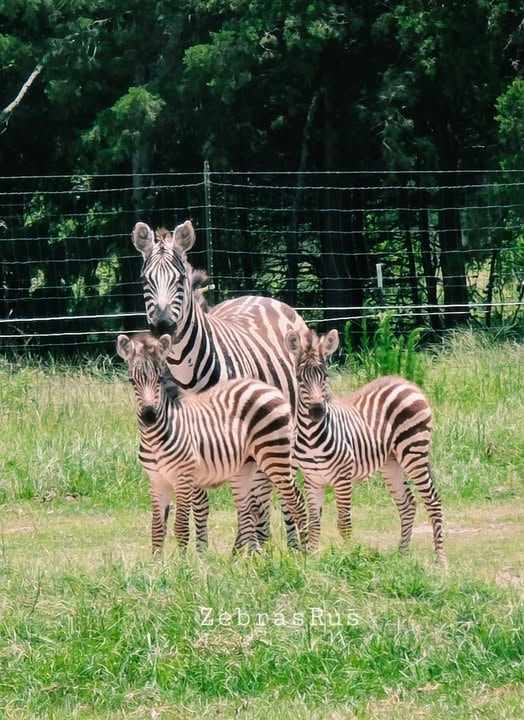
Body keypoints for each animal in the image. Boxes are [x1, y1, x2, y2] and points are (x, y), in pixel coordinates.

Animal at [117, 331, 307, 556]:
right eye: (132, 380)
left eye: (160, 379)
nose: (149, 416)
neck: (155, 438)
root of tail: (268, 388)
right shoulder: (156, 480)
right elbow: (157, 528)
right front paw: (156, 564)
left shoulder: (183, 478)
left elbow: (180, 527)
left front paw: (183, 564)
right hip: (247, 467)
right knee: (249, 513)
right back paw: (246, 559)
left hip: (275, 457)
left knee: (296, 503)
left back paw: (307, 553)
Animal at [132, 220, 308, 547]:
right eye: (145, 280)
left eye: (180, 280)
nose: (163, 326)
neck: (186, 372)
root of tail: (262, 297)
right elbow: (200, 501)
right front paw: (200, 550)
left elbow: (245, 499)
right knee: (263, 489)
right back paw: (261, 542)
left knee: (277, 487)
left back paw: (288, 544)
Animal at [285, 327, 447, 566]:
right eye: (298, 378)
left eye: (325, 376)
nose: (316, 411)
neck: (312, 437)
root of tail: (406, 383)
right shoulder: (313, 479)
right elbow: (314, 523)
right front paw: (312, 561)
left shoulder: (342, 477)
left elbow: (344, 523)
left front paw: (350, 557)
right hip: (391, 462)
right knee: (407, 504)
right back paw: (403, 556)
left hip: (414, 452)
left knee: (433, 500)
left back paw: (441, 561)